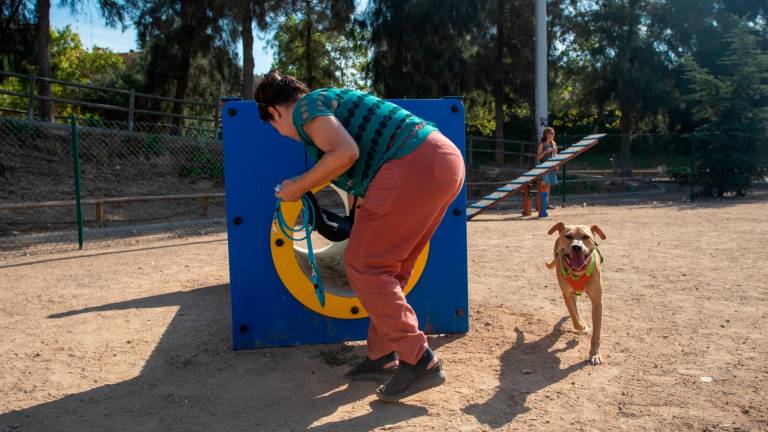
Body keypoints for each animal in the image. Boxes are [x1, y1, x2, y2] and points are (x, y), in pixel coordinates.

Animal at [544, 223, 608, 364]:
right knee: (575, 310)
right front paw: (583, 327)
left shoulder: (597, 301)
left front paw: (594, 354)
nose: (577, 247)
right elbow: (575, 318)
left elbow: (597, 333)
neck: (578, 272)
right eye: (568, 236)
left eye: (586, 237)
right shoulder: (567, 295)